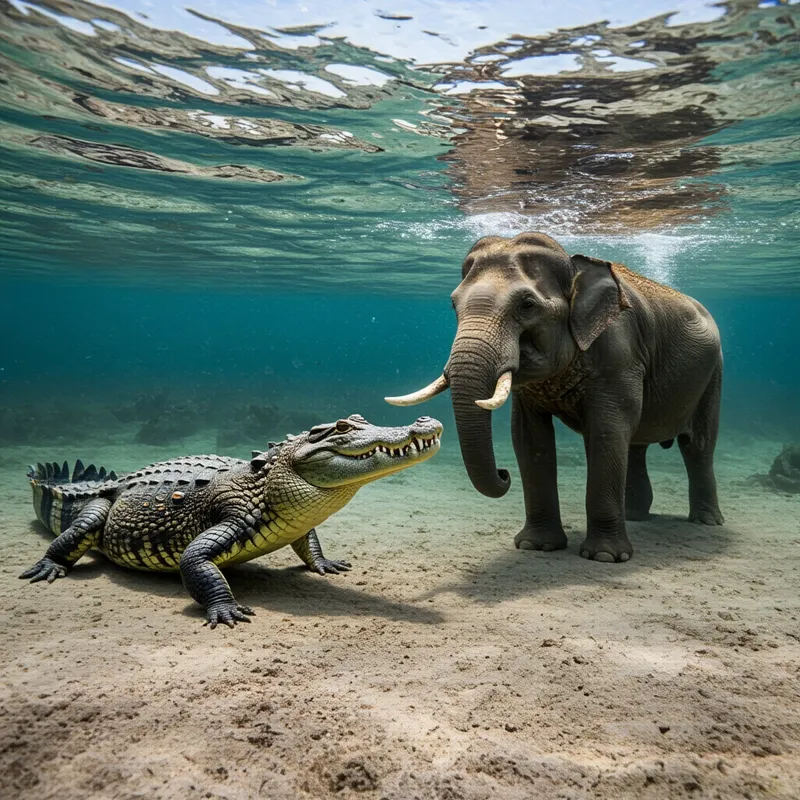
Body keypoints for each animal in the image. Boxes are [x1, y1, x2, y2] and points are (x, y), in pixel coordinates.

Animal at [386, 232, 724, 563]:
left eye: (527, 305)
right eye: (454, 305)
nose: (504, 474)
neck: (575, 268)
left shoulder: (619, 356)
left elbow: (607, 432)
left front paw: (604, 556)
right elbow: (529, 439)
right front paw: (537, 546)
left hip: (714, 375)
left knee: (697, 446)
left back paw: (706, 522)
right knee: (637, 445)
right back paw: (636, 516)